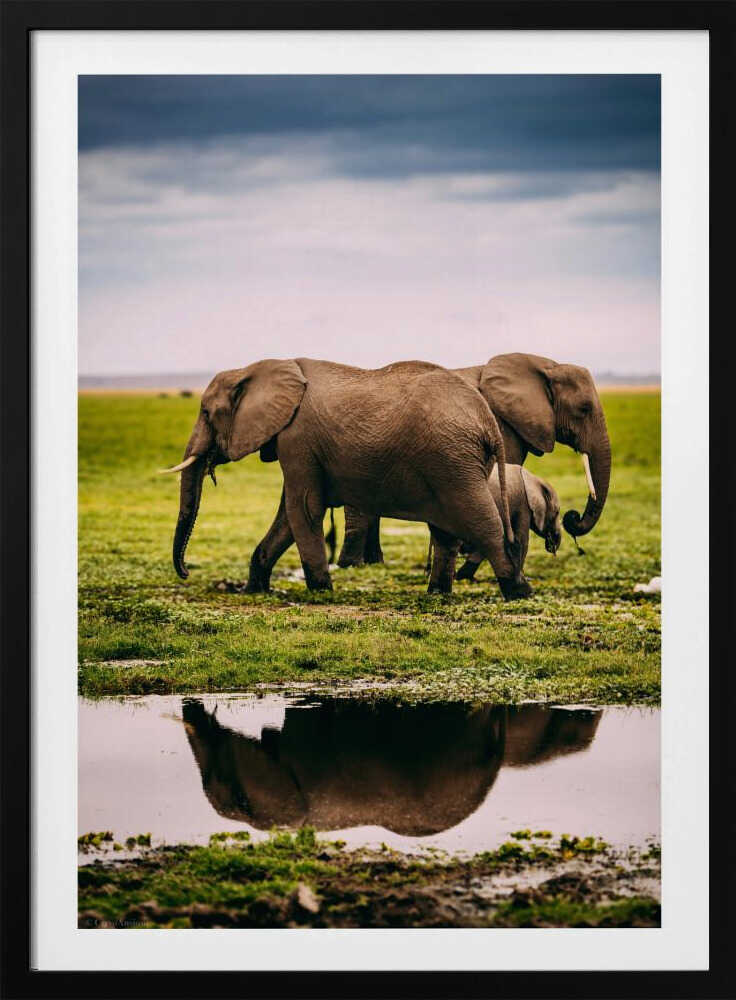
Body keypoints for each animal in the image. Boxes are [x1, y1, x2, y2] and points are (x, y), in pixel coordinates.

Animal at [161, 358, 532, 600]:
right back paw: (437, 594)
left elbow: (302, 508)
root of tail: (487, 420)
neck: (259, 369)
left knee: (482, 522)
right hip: (452, 463)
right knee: (445, 531)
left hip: (453, 461)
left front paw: (321, 591)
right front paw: (254, 590)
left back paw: (518, 592)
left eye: (206, 413)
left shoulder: (298, 437)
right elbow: (287, 516)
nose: (185, 572)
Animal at [337, 353, 611, 577]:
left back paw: (371, 563)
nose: (572, 517)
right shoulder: (502, 426)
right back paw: (352, 565)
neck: (545, 366)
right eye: (584, 409)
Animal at [426, 465, 562, 594]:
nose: (553, 548)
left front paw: (462, 575)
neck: (535, 480)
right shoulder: (523, 505)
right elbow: (522, 540)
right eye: (556, 513)